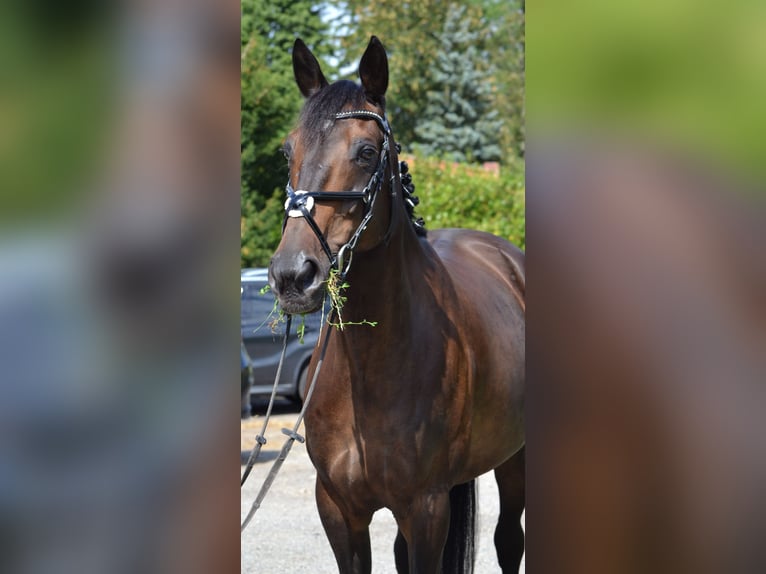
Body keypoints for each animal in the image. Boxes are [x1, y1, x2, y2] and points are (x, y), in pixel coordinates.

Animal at [268, 36, 525, 573]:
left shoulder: (425, 507)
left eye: (366, 152)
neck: (373, 367)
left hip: (516, 459)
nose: (291, 276)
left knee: (510, 539)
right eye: (287, 150)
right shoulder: (337, 509)